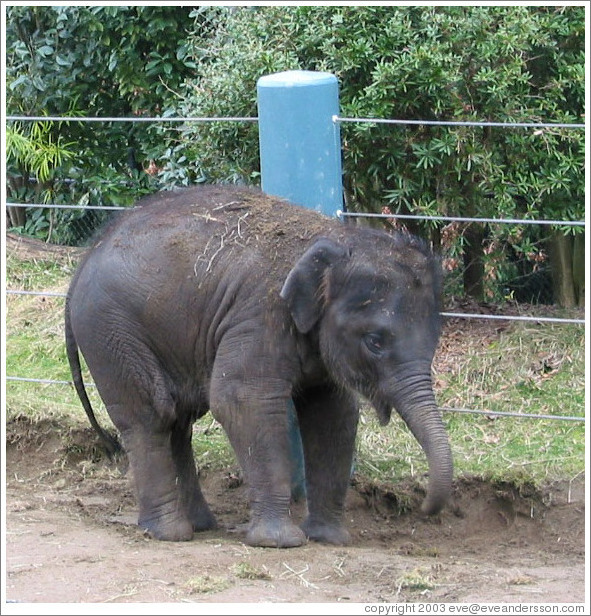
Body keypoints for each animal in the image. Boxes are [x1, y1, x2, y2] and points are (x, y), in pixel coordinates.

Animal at [66, 184, 454, 548]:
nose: (424, 509)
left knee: (178, 420)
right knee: (152, 416)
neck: (335, 239)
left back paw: (200, 525)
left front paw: (329, 538)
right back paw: (170, 533)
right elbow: (241, 399)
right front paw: (280, 542)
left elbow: (332, 413)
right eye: (375, 342)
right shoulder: (260, 315)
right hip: (111, 332)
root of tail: (86, 256)